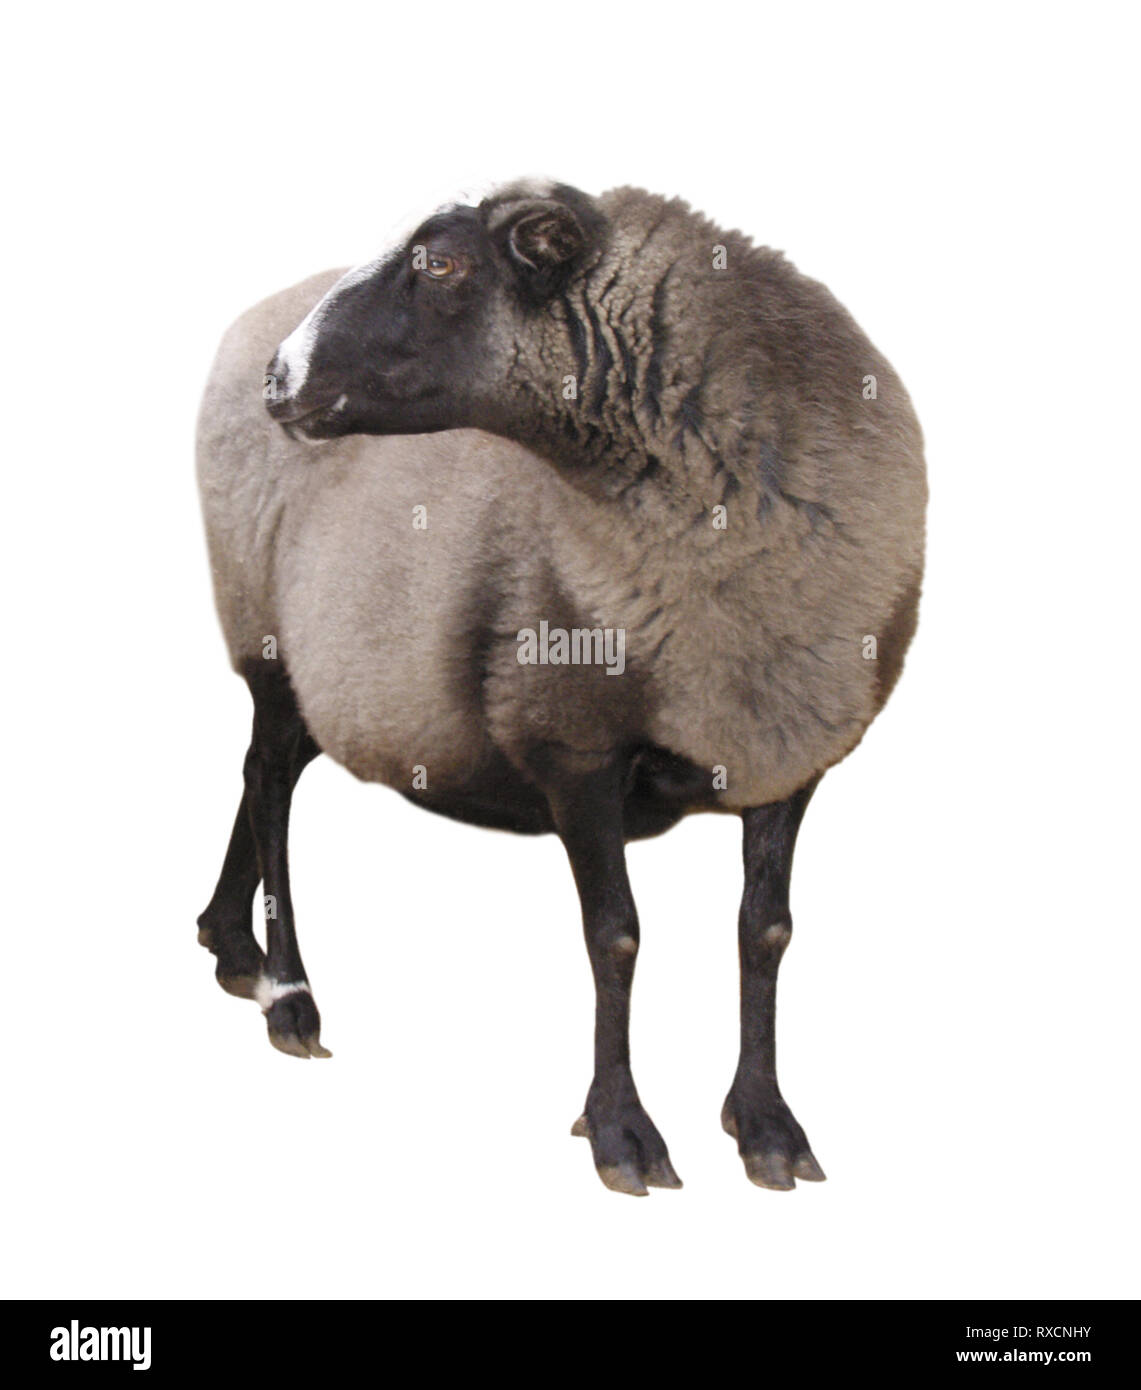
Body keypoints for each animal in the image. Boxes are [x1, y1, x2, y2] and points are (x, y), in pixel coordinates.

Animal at [197, 179, 927, 1195]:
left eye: (441, 263)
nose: (281, 377)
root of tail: (244, 322)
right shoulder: (571, 737)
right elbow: (614, 935)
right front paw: (621, 1131)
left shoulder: (787, 750)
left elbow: (765, 932)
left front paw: (766, 1127)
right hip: (262, 635)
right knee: (268, 785)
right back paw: (288, 994)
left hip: (322, 666)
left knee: (263, 773)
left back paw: (232, 944)